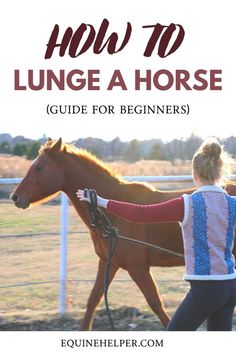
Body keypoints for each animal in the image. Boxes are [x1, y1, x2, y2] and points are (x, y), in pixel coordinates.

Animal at [10, 138, 236, 330]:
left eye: (39, 167)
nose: (15, 197)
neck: (112, 216)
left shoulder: (138, 268)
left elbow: (156, 304)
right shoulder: (108, 263)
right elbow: (93, 300)